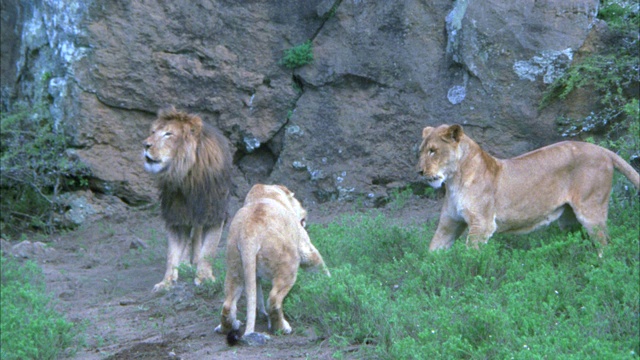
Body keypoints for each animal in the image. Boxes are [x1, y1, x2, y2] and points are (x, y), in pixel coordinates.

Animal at [142, 105, 230, 292]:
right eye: (153, 132)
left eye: (168, 134)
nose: (145, 144)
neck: (186, 177)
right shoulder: (175, 216)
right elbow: (172, 253)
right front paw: (167, 281)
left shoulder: (215, 212)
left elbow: (209, 249)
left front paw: (204, 277)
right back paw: (185, 264)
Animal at [215, 184, 330, 344]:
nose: (305, 212)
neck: (264, 193)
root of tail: (248, 234)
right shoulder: (305, 247)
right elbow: (319, 265)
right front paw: (332, 282)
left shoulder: (254, 273)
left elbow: (256, 293)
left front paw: (261, 312)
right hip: (289, 263)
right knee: (274, 299)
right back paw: (282, 328)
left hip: (235, 267)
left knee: (228, 304)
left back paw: (227, 326)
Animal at [418, 125, 636, 255]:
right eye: (421, 151)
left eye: (433, 151)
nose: (419, 171)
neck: (454, 180)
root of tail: (603, 150)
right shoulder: (449, 224)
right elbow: (432, 252)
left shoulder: (482, 224)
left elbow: (470, 257)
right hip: (569, 220)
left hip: (591, 211)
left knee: (606, 245)